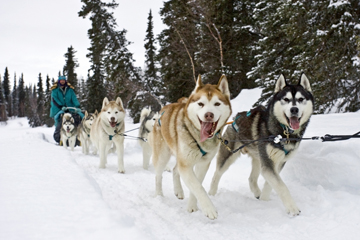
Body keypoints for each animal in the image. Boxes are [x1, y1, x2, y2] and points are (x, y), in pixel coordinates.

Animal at [148, 75, 231, 219]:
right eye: (201, 104)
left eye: (217, 104)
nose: (209, 115)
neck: (199, 138)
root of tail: (163, 109)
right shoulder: (186, 165)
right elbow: (198, 187)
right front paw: (209, 208)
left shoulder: (202, 164)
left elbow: (196, 185)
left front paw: (192, 206)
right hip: (163, 156)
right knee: (158, 176)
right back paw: (159, 195)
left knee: (175, 170)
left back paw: (179, 191)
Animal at [210, 73, 314, 216]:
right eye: (286, 99)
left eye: (301, 99)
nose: (294, 109)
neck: (283, 132)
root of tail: (236, 117)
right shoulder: (268, 163)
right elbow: (281, 186)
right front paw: (292, 208)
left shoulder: (278, 162)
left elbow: (270, 183)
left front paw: (265, 200)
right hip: (229, 155)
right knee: (217, 173)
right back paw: (211, 194)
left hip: (258, 158)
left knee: (251, 178)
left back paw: (257, 193)